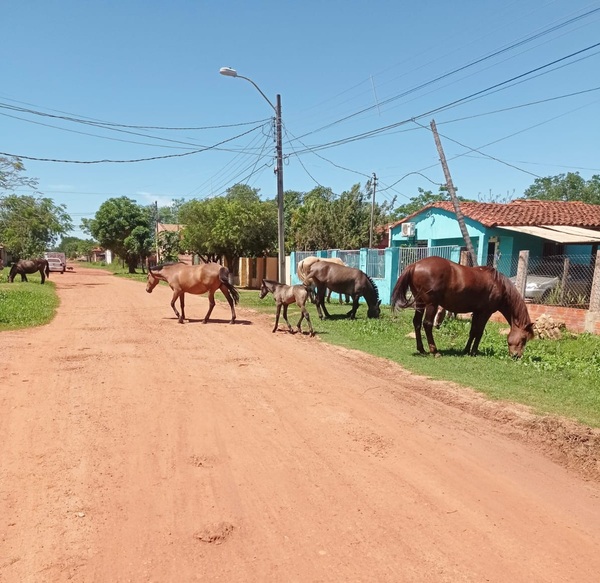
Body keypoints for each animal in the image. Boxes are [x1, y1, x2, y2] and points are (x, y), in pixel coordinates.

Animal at [390, 258, 536, 358]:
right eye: (524, 339)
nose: (517, 356)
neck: (499, 285)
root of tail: (415, 265)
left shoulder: (476, 312)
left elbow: (473, 331)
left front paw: (466, 350)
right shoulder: (485, 312)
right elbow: (479, 332)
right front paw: (474, 351)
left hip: (420, 303)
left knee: (417, 323)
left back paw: (421, 349)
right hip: (431, 304)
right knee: (427, 324)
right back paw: (435, 351)